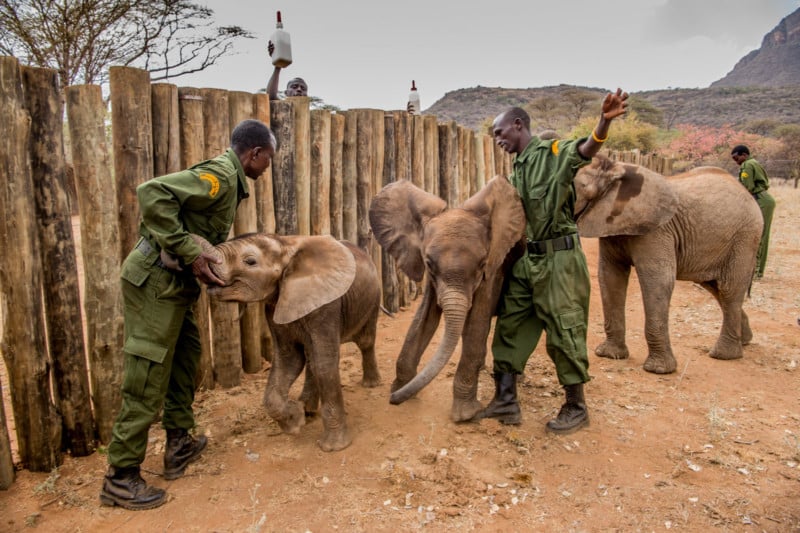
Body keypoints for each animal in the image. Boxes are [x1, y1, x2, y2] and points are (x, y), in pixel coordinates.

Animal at [193, 232, 382, 448]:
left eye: (250, 262)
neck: (285, 244)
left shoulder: (327, 307)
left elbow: (324, 365)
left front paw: (333, 446)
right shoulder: (275, 305)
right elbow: (288, 359)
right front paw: (295, 420)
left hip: (373, 298)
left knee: (365, 341)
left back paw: (370, 385)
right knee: (311, 359)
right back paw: (308, 411)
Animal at [368, 175, 524, 420]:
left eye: (481, 265)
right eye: (429, 264)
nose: (392, 401)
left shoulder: (494, 267)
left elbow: (476, 324)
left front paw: (465, 415)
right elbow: (423, 320)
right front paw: (402, 389)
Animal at [576, 156, 764, 372]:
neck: (615, 170)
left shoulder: (657, 231)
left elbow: (658, 281)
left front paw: (658, 370)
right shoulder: (611, 226)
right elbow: (610, 277)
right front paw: (609, 355)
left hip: (745, 238)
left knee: (729, 290)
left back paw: (723, 355)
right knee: (716, 288)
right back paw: (745, 340)